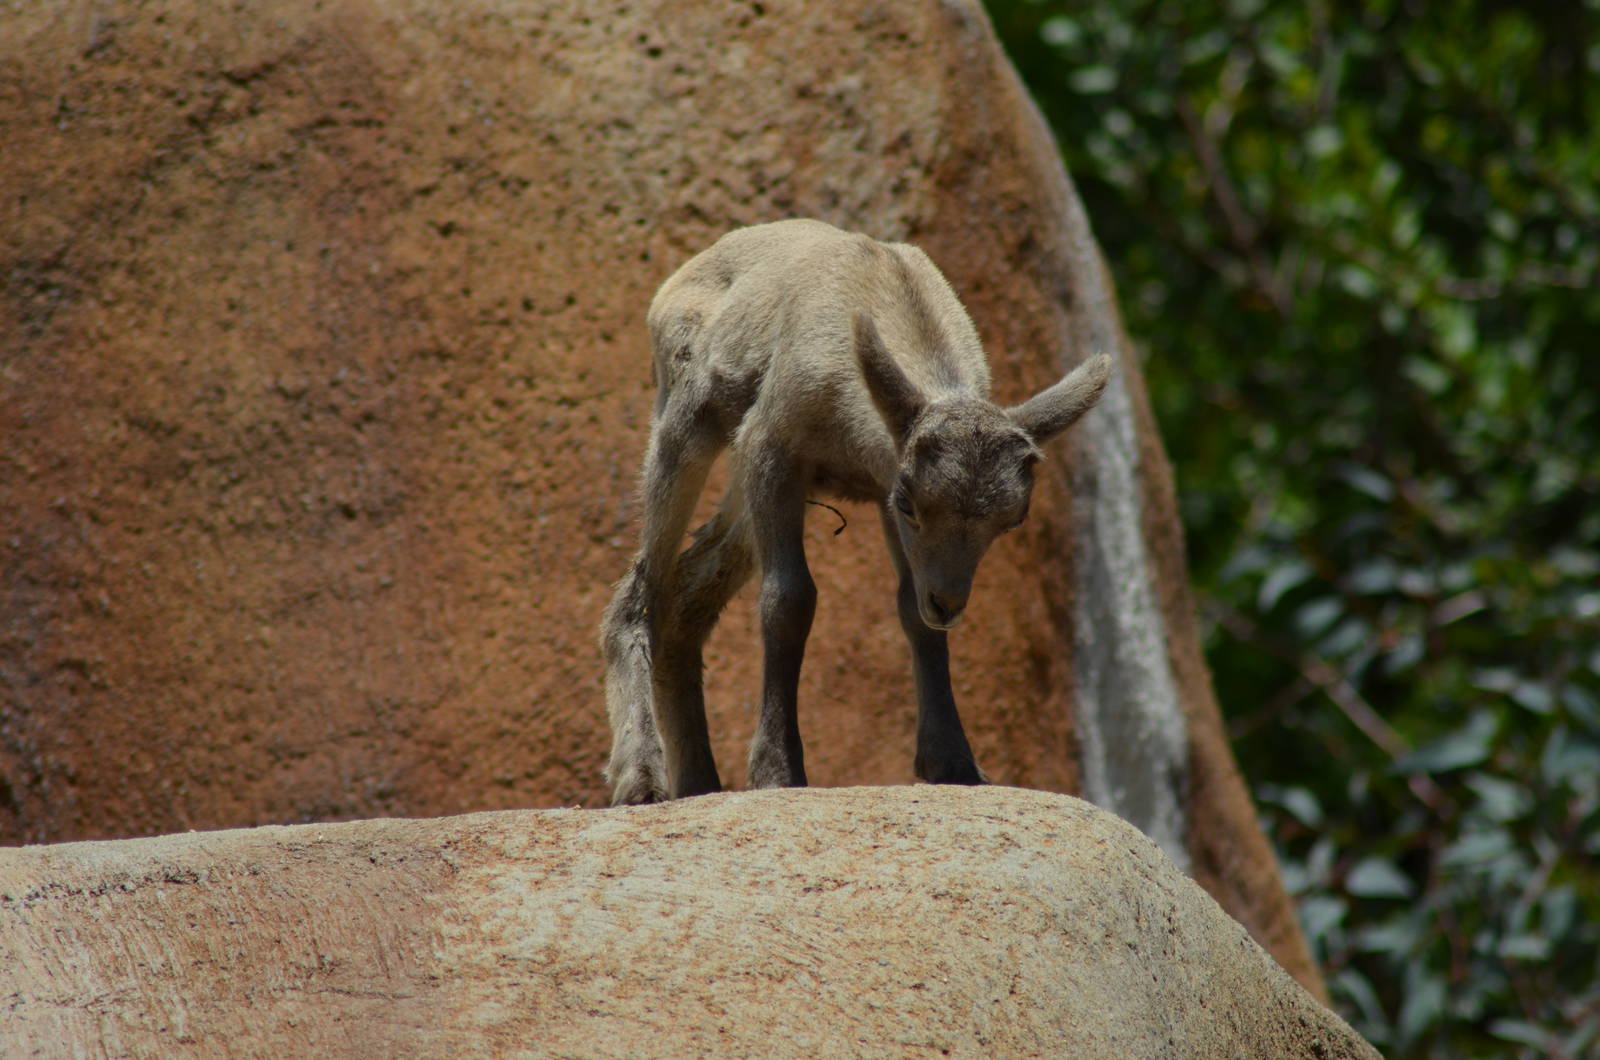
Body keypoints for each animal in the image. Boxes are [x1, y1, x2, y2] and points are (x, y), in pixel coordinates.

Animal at [600, 219, 1111, 806]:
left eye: (1013, 519)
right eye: (912, 502)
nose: (949, 603)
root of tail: (671, 287)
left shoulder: (875, 483)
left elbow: (910, 610)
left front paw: (955, 763)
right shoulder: (773, 449)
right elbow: (788, 600)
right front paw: (778, 771)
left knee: (689, 593)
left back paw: (700, 782)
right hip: (688, 425)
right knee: (641, 590)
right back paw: (641, 779)